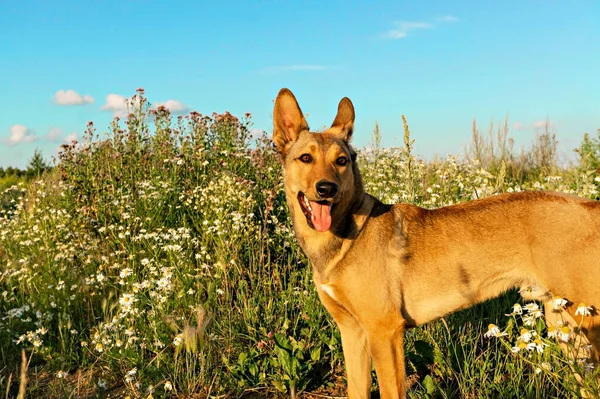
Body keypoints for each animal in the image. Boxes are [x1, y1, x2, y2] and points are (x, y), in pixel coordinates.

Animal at [274, 88, 600, 399]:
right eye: (306, 158)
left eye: (341, 161)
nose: (326, 189)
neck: (345, 236)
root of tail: (591, 208)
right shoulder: (352, 333)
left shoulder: (385, 332)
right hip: (563, 325)